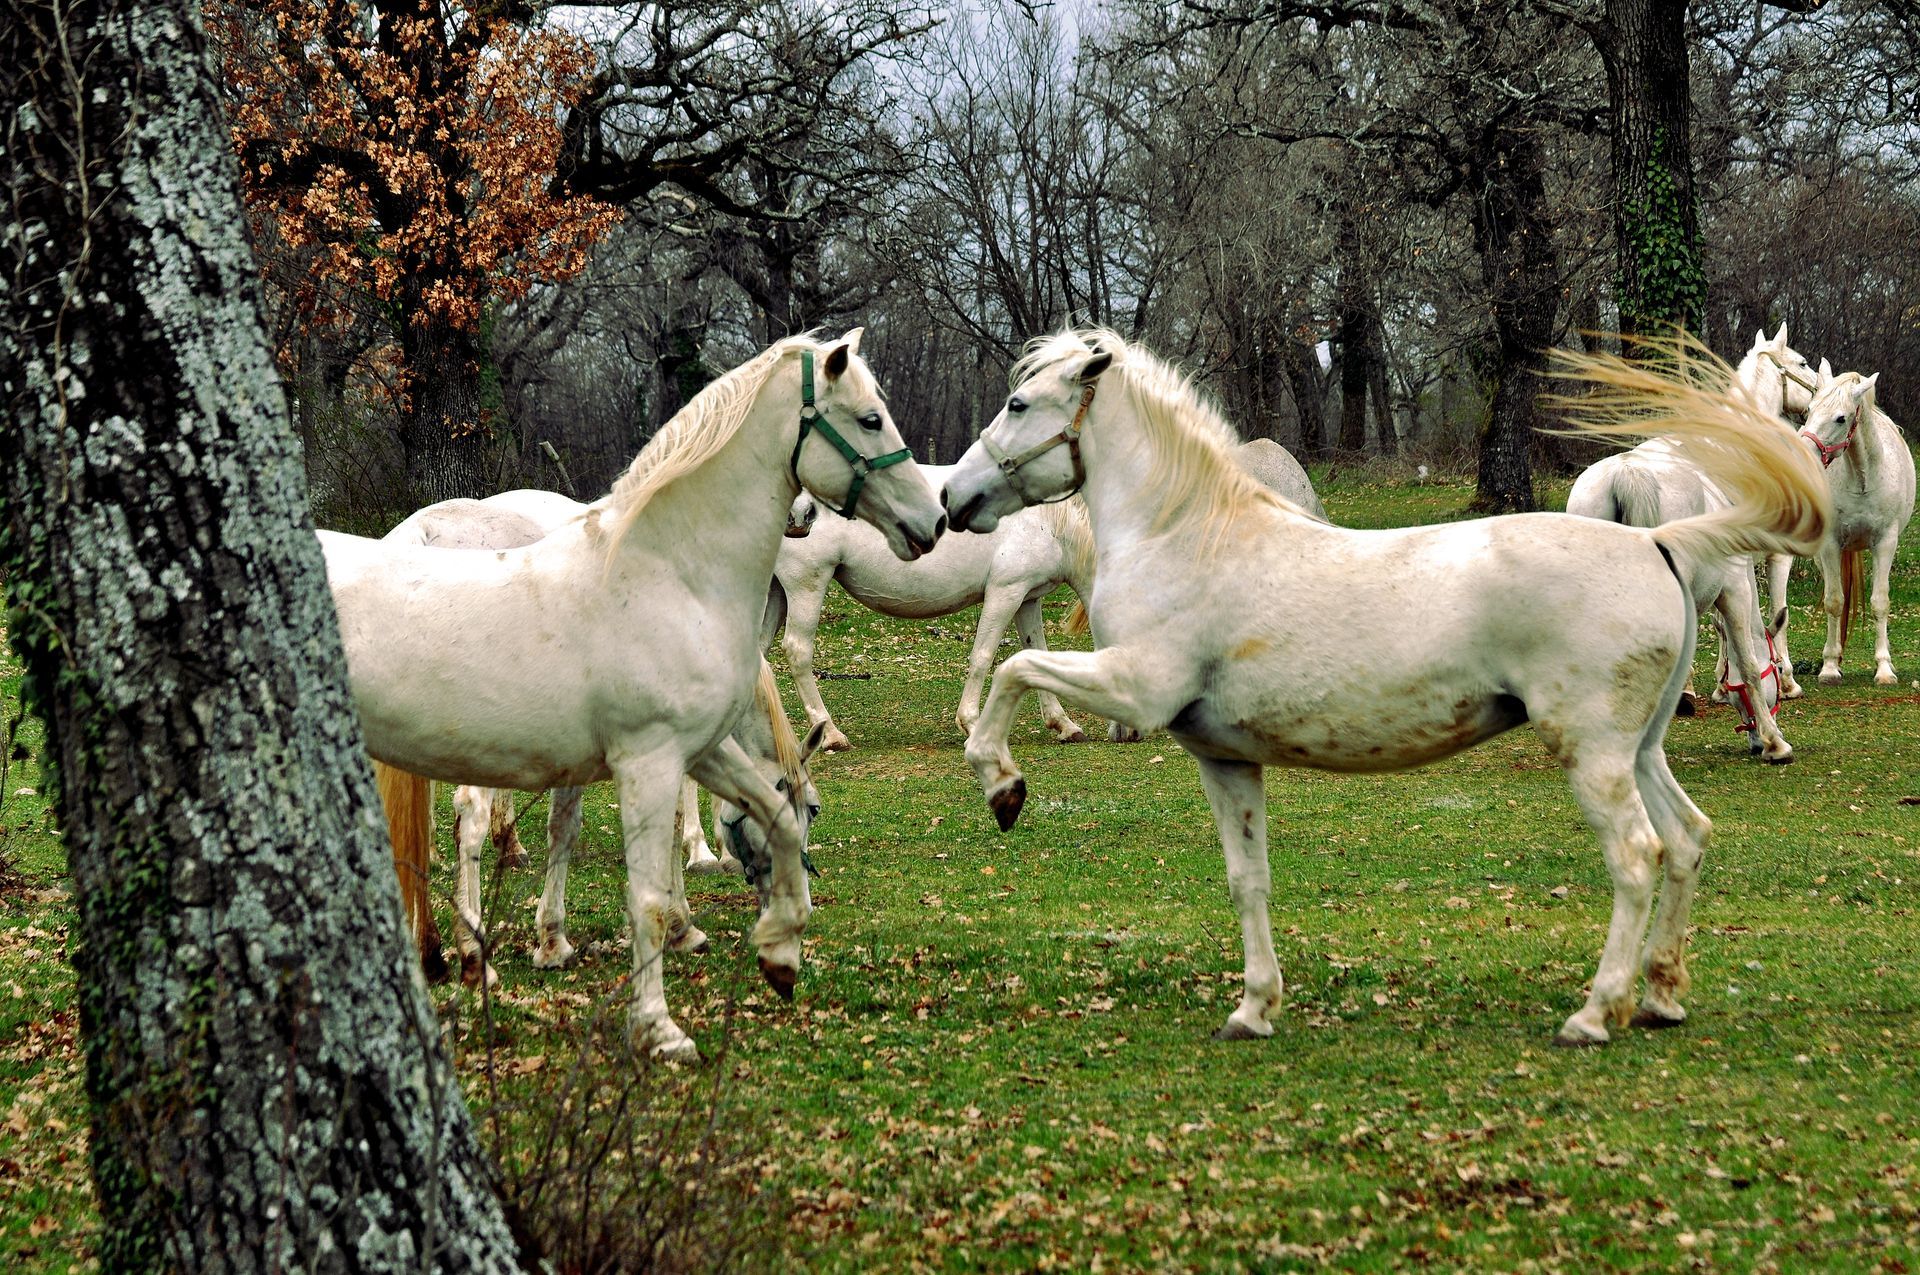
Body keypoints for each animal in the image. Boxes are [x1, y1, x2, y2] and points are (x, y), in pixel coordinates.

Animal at [323, 330, 945, 1060]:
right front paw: (659, 1024)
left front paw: (779, 950)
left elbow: (772, 820)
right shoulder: (650, 761)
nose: (933, 521)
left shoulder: (704, 751)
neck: (669, 573)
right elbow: (647, 892)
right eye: (871, 419)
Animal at [1565, 440, 1794, 761]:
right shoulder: (1735, 592)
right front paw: (1775, 743)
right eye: (1778, 669)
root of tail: (1628, 473)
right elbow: (1748, 666)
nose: (1756, 743)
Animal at [1795, 365, 1914, 686]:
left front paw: (1884, 668)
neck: (1862, 477)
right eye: (1808, 409)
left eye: (1840, 418)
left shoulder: (1886, 543)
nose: (1803, 454)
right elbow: (1834, 601)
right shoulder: (1830, 545)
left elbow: (1880, 602)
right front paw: (1829, 667)